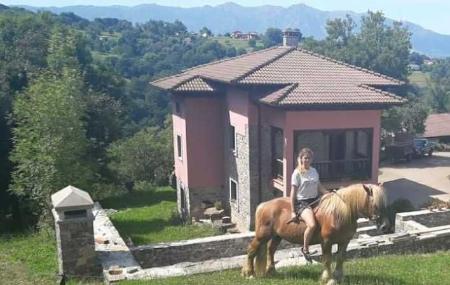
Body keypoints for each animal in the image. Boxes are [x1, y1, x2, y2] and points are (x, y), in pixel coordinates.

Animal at [241, 183, 388, 282]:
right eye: (375, 204)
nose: (385, 226)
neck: (339, 213)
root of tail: (263, 205)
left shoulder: (344, 241)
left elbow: (340, 258)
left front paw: (338, 277)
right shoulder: (327, 242)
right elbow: (327, 259)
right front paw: (328, 278)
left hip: (277, 236)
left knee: (270, 251)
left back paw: (271, 271)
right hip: (262, 235)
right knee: (252, 250)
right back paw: (249, 273)